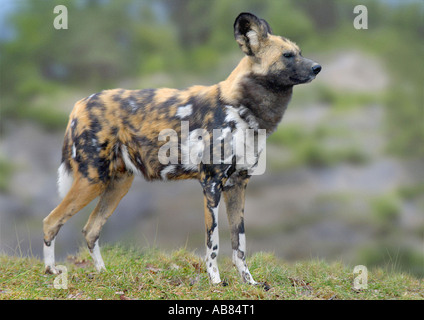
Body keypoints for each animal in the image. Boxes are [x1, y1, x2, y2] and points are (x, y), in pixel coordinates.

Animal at [44, 12, 322, 284]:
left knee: (90, 230)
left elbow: (239, 243)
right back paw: (51, 271)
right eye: (287, 56)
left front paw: (248, 282)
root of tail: (80, 103)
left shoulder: (238, 185)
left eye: (299, 52)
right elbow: (214, 243)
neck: (242, 109)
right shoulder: (211, 185)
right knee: (51, 222)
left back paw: (103, 273)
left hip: (117, 185)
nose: (317, 67)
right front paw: (215, 281)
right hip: (92, 180)